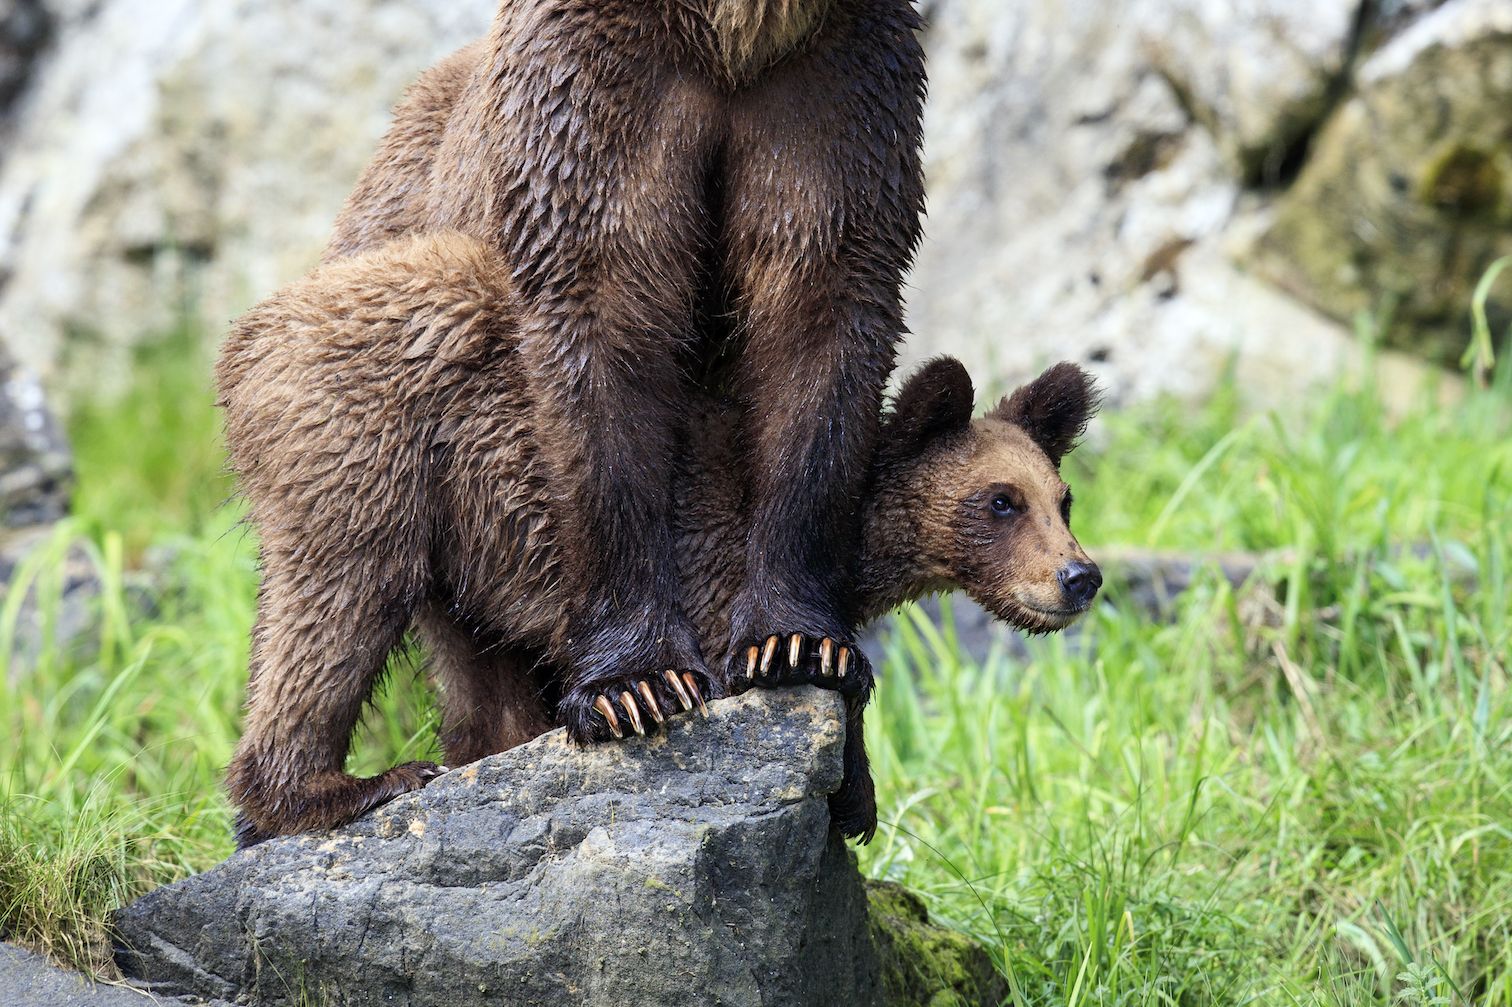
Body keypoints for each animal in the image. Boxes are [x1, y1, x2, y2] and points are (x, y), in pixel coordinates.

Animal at [220, 231, 1100, 840]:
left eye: (1063, 498)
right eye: (1000, 501)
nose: (1079, 577)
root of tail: (251, 328)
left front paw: (856, 792)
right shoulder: (707, 554)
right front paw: (844, 784)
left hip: (460, 534)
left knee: (469, 663)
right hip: (367, 445)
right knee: (336, 603)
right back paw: (342, 787)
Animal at [317, 0, 925, 752]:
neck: (736, 38)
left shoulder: (836, 95)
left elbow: (819, 326)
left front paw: (798, 645)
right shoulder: (595, 97)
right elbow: (604, 334)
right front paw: (636, 685)